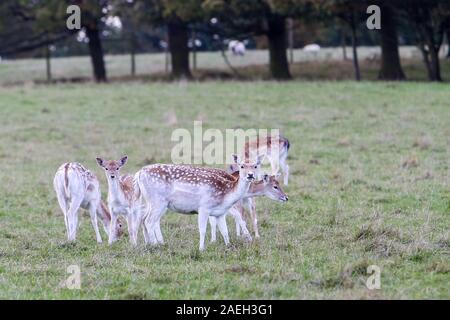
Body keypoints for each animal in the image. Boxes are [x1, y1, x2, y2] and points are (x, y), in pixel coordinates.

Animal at [134, 155, 264, 250]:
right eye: (242, 166)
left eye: (255, 166)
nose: (250, 175)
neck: (226, 193)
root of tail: (139, 173)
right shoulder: (204, 207)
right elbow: (202, 230)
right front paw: (201, 249)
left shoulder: (220, 213)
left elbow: (225, 231)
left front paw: (228, 246)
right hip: (158, 200)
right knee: (149, 221)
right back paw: (156, 245)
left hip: (151, 201)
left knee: (143, 219)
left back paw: (149, 244)